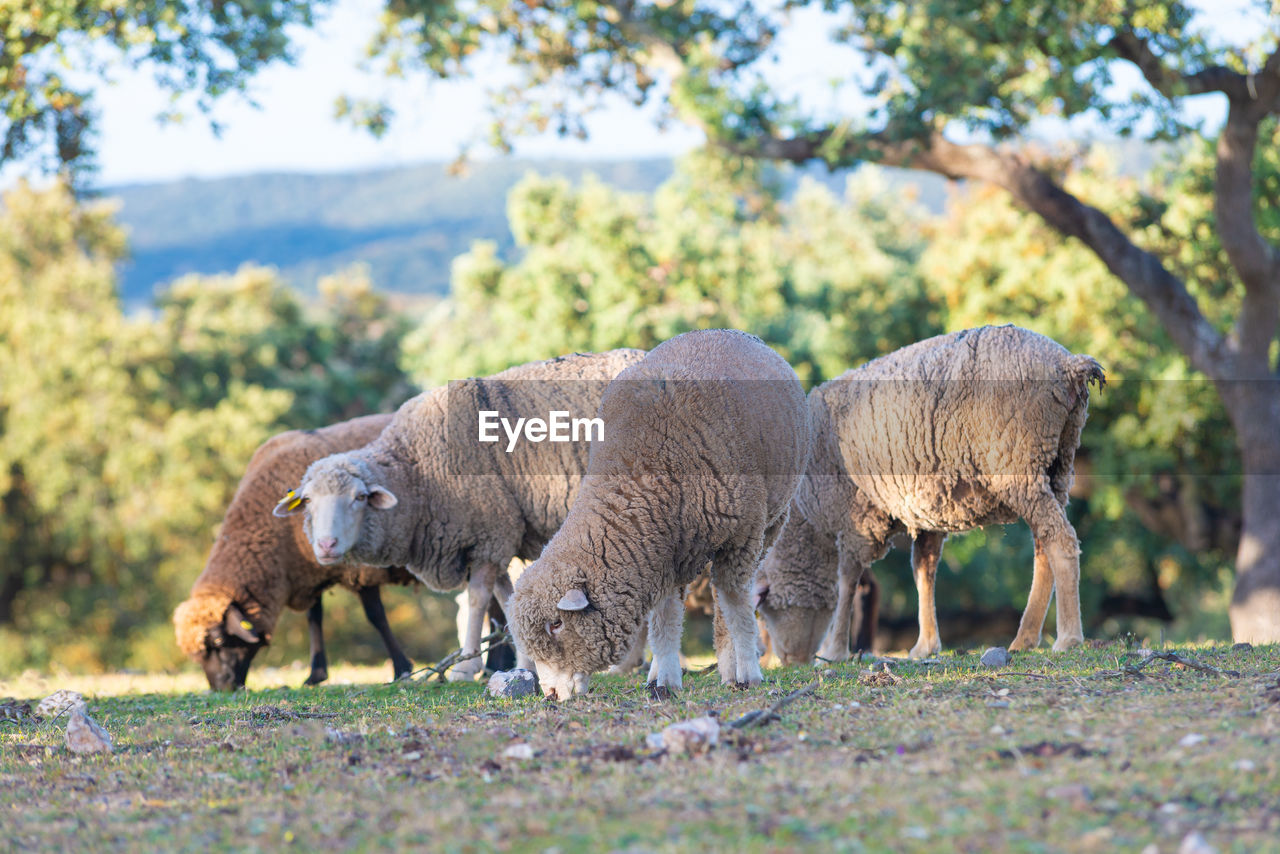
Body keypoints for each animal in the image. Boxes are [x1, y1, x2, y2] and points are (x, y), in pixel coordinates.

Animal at [172, 414, 414, 696]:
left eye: (219, 639)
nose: (222, 688)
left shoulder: (360, 569)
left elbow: (375, 616)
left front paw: (402, 669)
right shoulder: (309, 569)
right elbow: (314, 617)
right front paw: (316, 674)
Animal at [275, 350, 645, 686]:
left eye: (360, 497)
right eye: (308, 501)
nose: (326, 545)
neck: (418, 474)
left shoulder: (490, 533)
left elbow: (478, 599)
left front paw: (465, 667)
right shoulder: (499, 537)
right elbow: (506, 600)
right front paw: (523, 664)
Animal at [501, 330, 808, 701]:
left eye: (556, 624)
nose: (550, 696)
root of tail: (731, 333)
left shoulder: (741, 538)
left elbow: (738, 609)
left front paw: (750, 673)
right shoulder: (661, 556)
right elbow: (665, 623)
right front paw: (665, 682)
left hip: (772, 522)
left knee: (726, 598)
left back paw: (730, 667)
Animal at [757, 323, 1100, 665]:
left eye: (767, 612)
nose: (788, 661)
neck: (809, 519)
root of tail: (1070, 365)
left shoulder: (855, 513)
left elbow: (848, 579)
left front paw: (834, 650)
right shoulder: (927, 507)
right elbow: (923, 571)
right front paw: (926, 645)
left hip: (1016, 460)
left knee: (1061, 540)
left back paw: (1068, 637)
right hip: (1057, 464)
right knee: (1044, 545)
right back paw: (1025, 638)